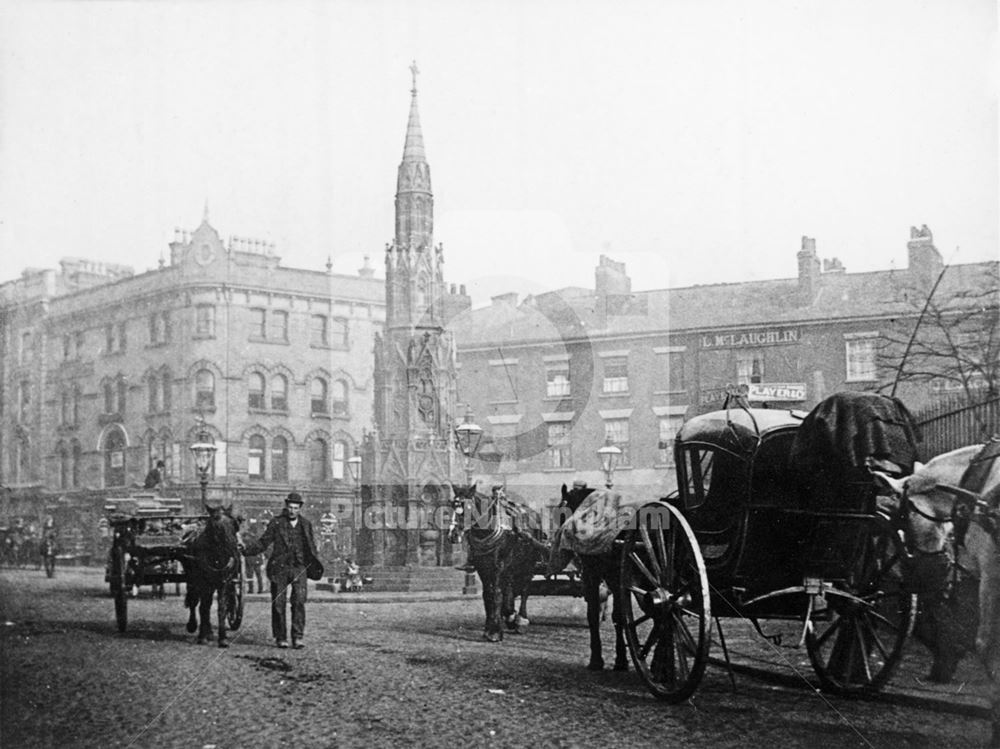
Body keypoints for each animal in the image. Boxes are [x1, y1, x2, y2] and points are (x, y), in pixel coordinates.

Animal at [183, 506, 241, 644]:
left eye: (234, 524)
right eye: (215, 527)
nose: (233, 550)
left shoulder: (224, 582)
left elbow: (221, 607)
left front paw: (222, 638)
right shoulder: (202, 583)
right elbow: (202, 607)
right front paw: (202, 636)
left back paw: (209, 631)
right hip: (192, 579)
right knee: (195, 601)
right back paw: (194, 625)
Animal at [450, 486, 552, 644]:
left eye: (467, 506)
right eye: (452, 505)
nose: (454, 534)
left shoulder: (498, 568)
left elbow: (496, 594)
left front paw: (495, 632)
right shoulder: (483, 568)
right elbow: (488, 595)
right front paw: (489, 628)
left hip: (527, 565)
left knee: (525, 590)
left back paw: (521, 619)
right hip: (512, 567)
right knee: (509, 588)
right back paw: (510, 614)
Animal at [552, 486, 628, 672]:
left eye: (560, 509)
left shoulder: (592, 575)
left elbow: (593, 614)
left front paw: (596, 660)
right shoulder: (616, 581)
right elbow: (619, 616)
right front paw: (621, 659)